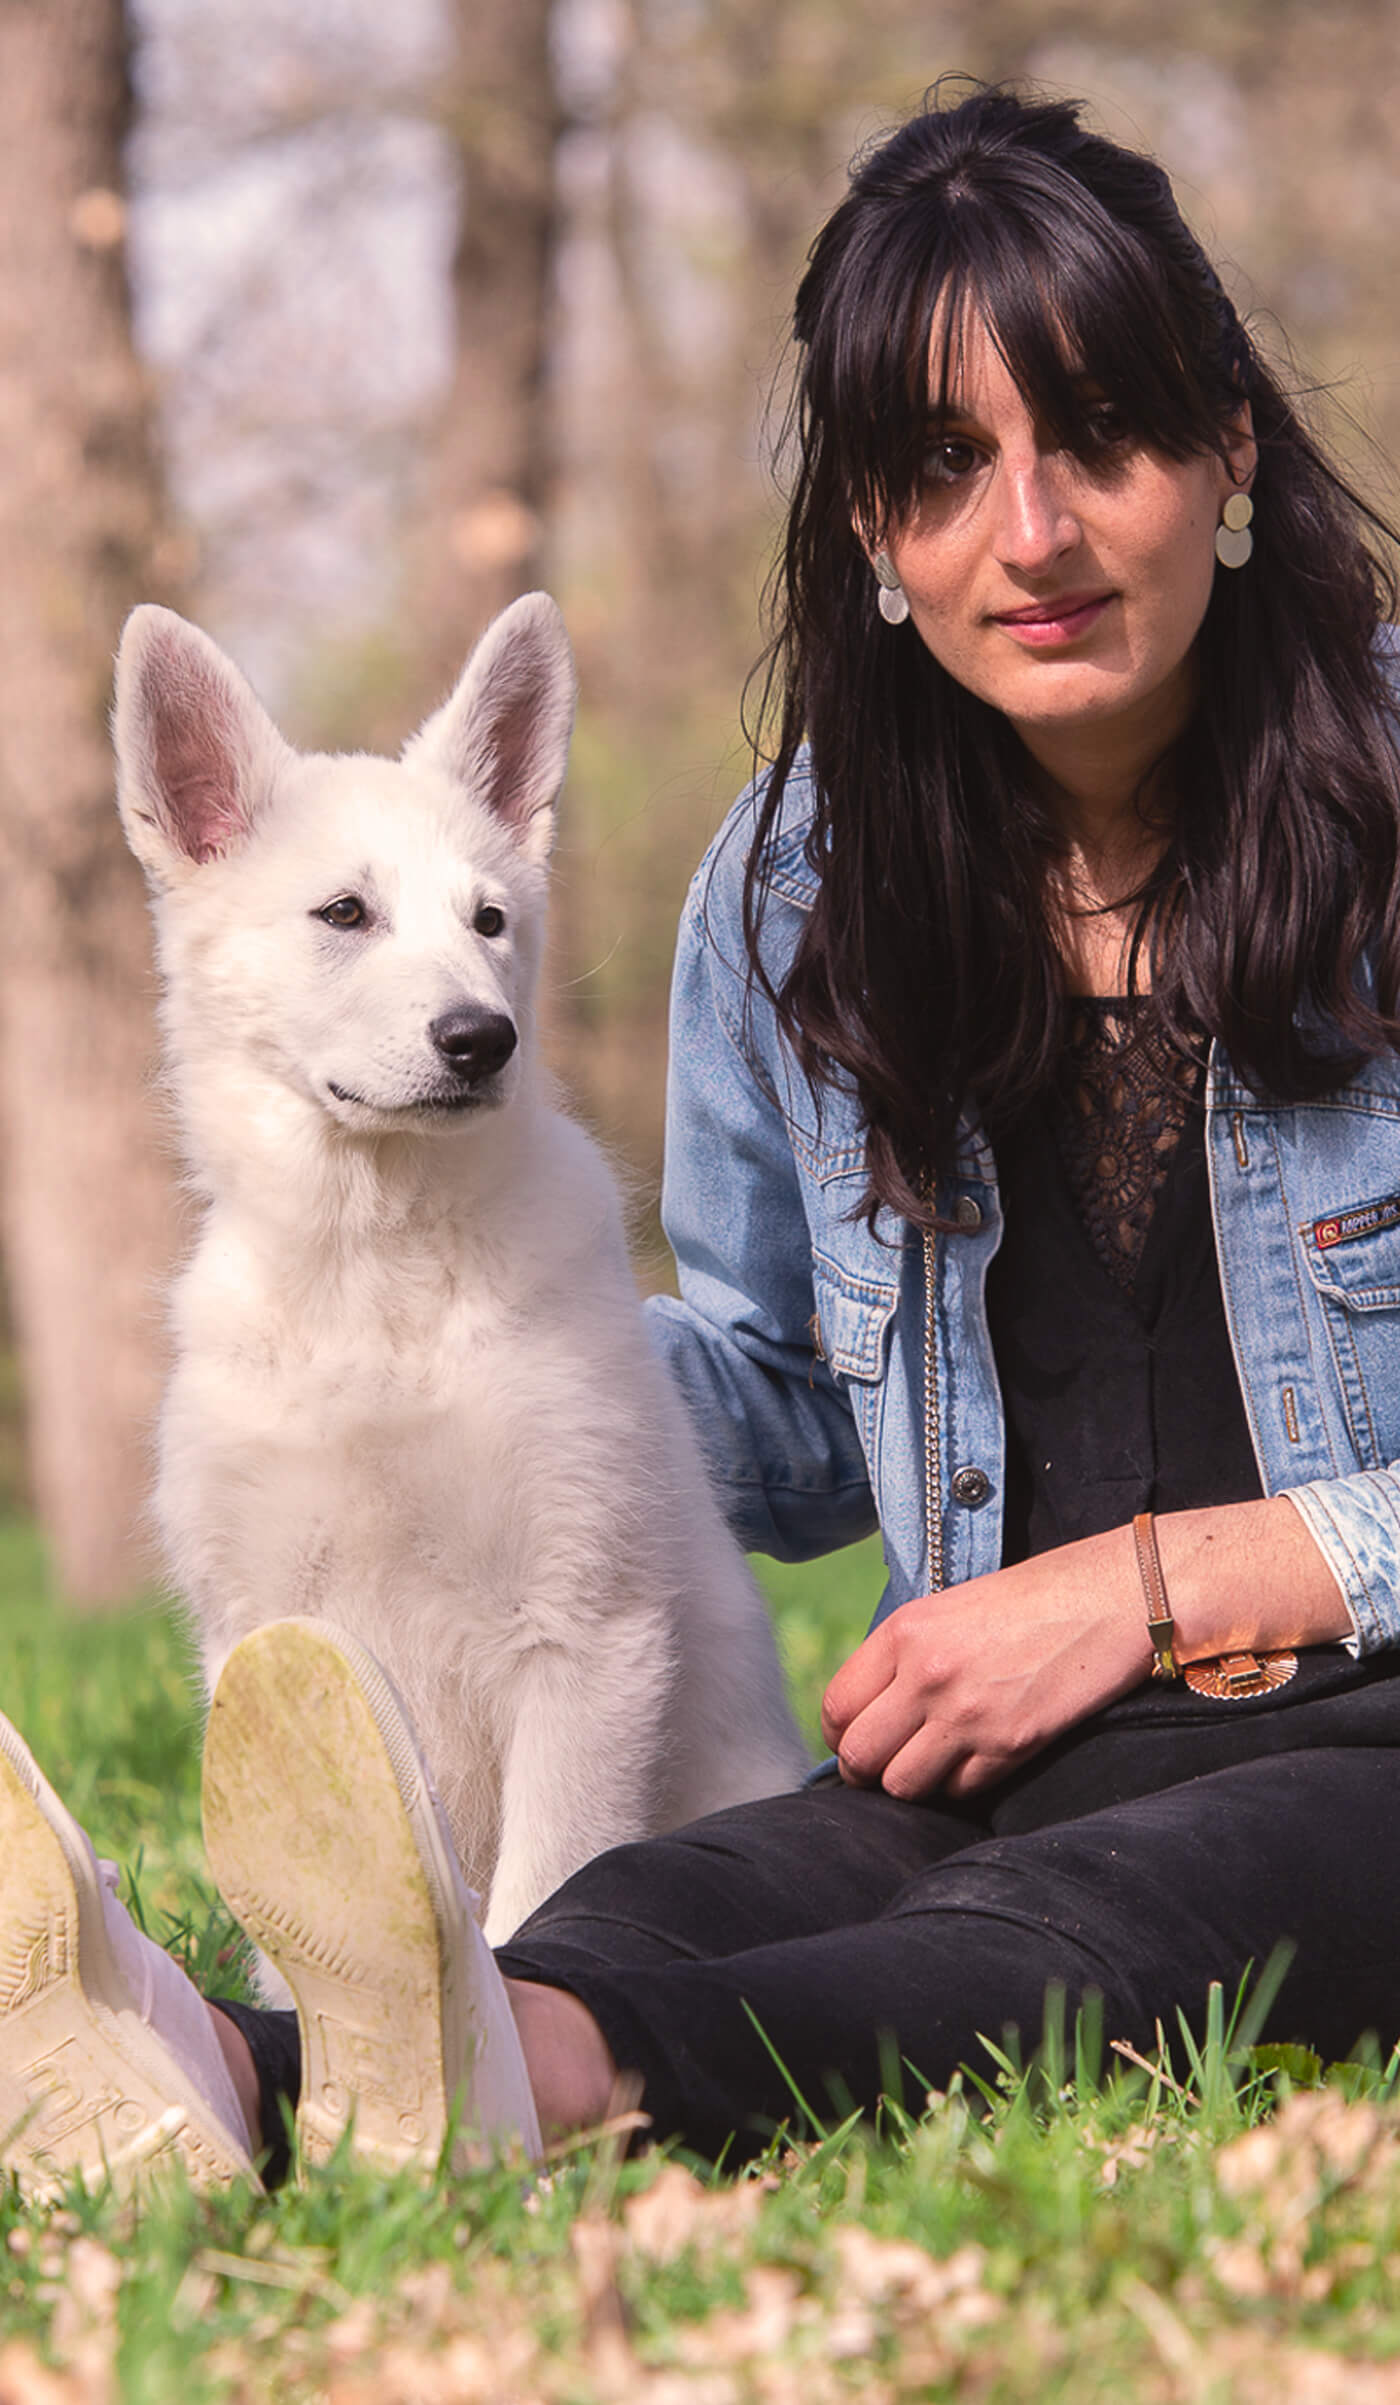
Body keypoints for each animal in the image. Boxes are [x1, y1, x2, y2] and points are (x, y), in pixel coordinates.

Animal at [113, 586, 808, 1952]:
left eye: (489, 921)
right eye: (344, 912)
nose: (483, 1038)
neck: (376, 1275)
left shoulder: (586, 1630)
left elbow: (540, 1892)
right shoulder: (262, 1629)